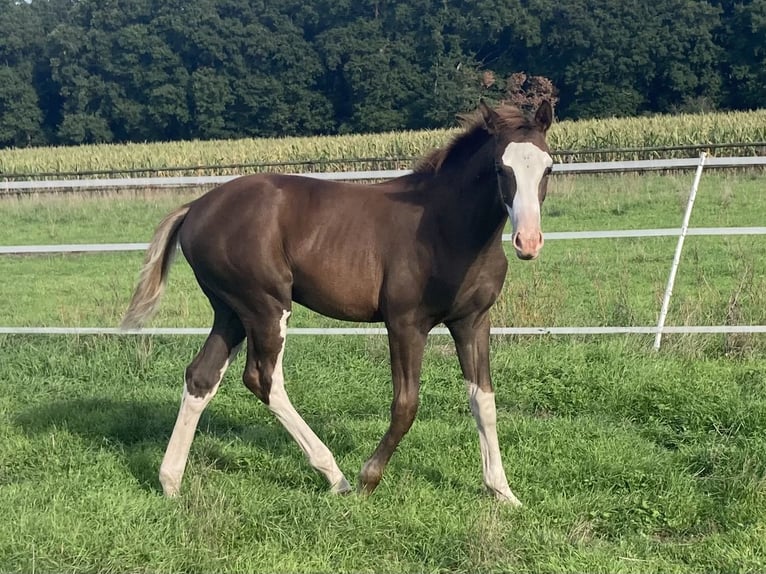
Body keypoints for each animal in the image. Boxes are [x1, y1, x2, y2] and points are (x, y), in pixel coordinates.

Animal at [122, 100, 554, 505]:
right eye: (500, 168)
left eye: (548, 168)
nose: (528, 242)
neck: (447, 227)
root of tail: (196, 207)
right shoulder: (405, 323)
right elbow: (406, 404)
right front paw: (368, 478)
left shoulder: (472, 322)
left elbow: (484, 401)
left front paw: (503, 492)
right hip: (265, 306)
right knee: (264, 379)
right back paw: (336, 477)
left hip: (231, 312)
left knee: (202, 376)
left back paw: (170, 482)